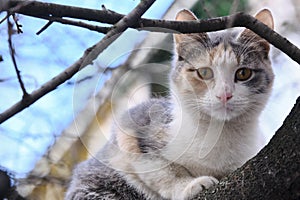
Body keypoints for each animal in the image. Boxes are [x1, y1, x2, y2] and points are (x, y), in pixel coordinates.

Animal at [65, 8, 274, 200]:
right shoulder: (132, 126)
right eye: (204, 73)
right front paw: (190, 185)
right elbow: (163, 172)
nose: (225, 95)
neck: (220, 133)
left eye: (243, 73)